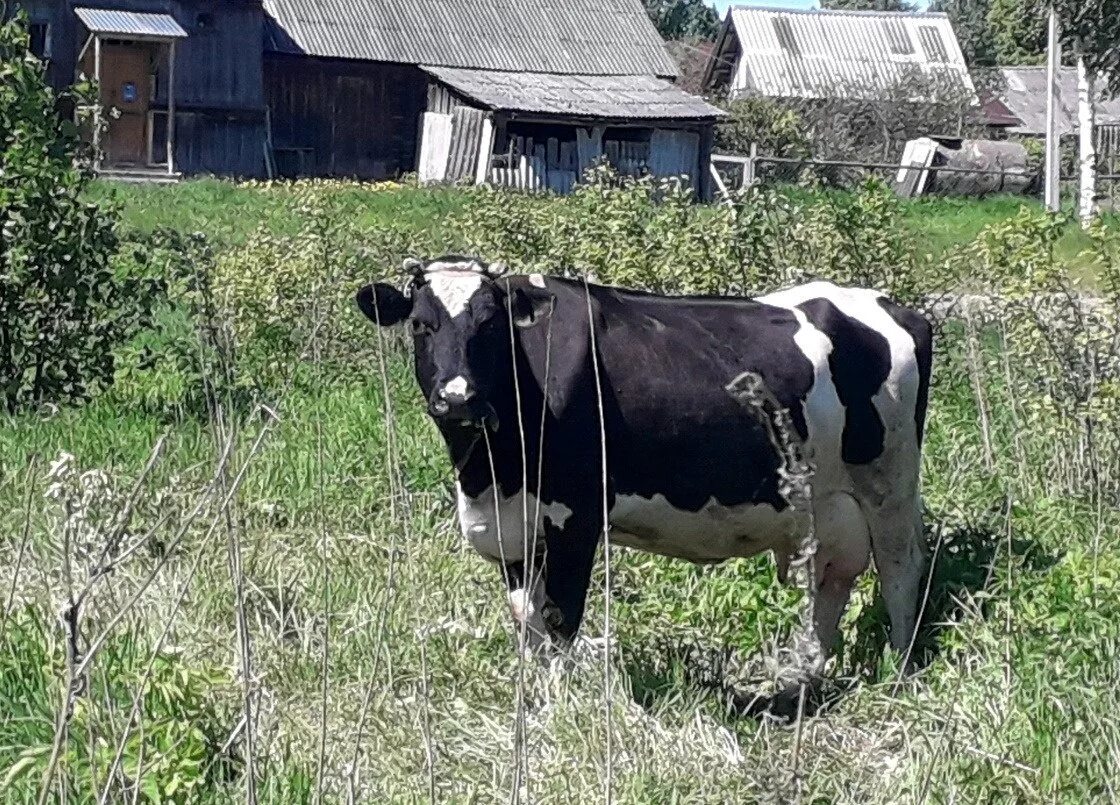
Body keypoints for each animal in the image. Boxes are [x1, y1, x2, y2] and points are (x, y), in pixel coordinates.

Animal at [353, 255, 931, 685]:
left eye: (490, 325)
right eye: (421, 325)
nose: (459, 399)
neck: (489, 473)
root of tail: (892, 306)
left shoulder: (576, 516)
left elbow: (561, 618)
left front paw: (557, 704)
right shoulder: (511, 526)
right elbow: (528, 620)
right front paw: (533, 692)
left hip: (891, 484)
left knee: (901, 571)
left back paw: (899, 675)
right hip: (827, 502)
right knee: (831, 579)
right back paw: (802, 675)